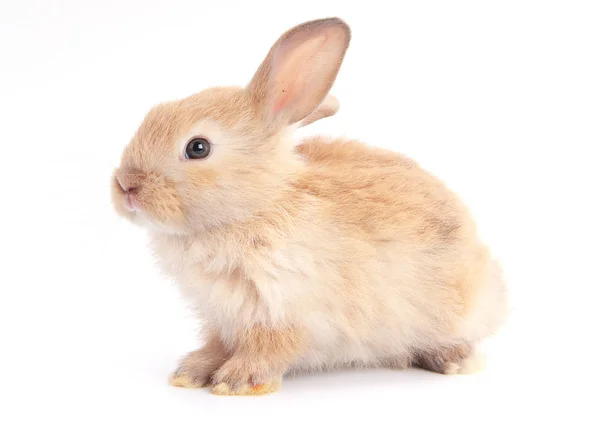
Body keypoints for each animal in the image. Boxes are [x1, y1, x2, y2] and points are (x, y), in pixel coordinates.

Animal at [111, 15, 506, 394]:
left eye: (198, 147)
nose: (126, 186)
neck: (257, 205)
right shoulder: (222, 318)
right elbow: (217, 345)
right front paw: (191, 373)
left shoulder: (284, 312)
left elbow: (270, 348)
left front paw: (238, 381)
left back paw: (456, 361)